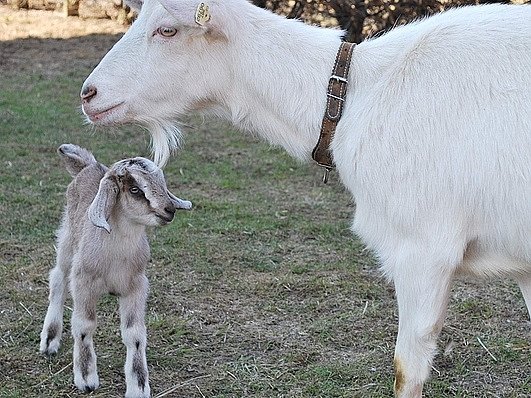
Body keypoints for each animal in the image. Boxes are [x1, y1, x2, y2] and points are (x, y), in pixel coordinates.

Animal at [40, 145, 193, 396]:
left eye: (162, 183)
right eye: (135, 189)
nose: (169, 210)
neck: (116, 256)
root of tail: (89, 165)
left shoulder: (137, 286)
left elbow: (135, 334)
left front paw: (138, 385)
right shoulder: (83, 282)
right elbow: (84, 326)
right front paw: (86, 378)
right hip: (68, 239)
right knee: (58, 278)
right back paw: (50, 340)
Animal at [80, 0, 531, 394]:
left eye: (168, 30)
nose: (89, 94)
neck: (355, 97)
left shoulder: (423, 249)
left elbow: (406, 370)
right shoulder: (521, 261)